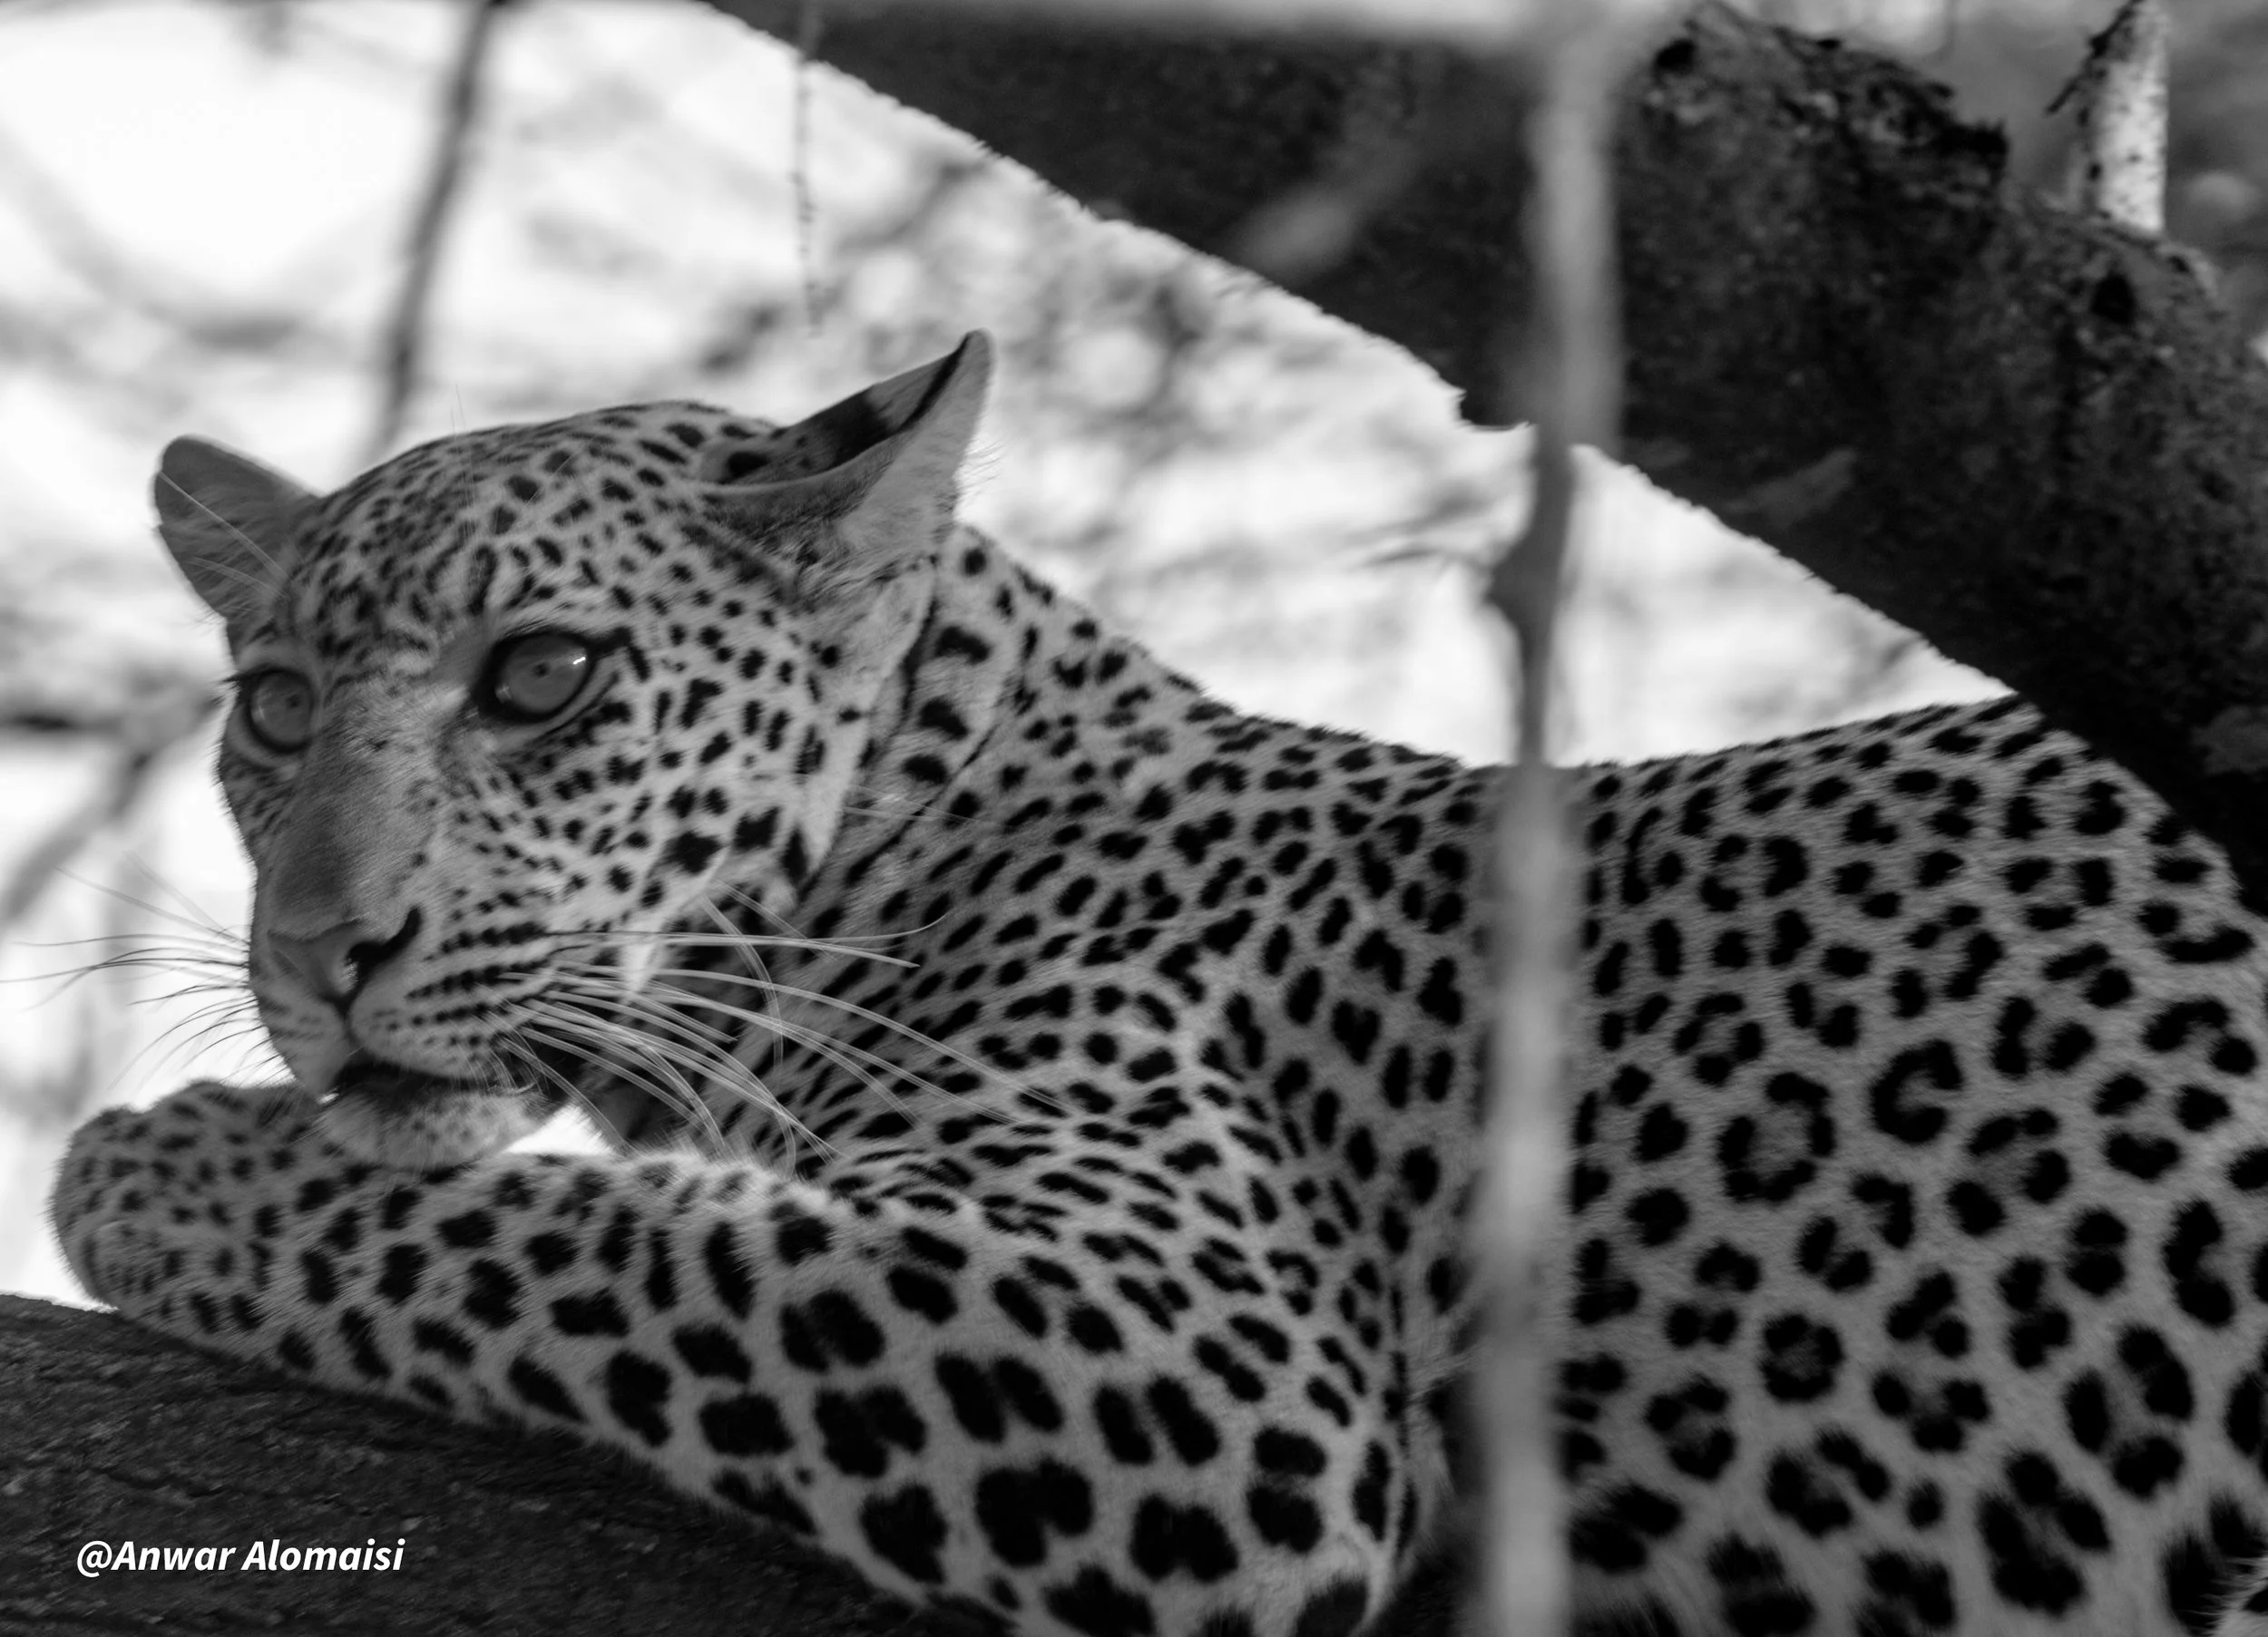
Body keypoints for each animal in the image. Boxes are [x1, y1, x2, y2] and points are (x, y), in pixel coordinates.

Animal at [49, 330, 2268, 1637]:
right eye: (274, 708)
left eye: (540, 678)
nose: (323, 953)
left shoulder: (1200, 1350)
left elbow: (606, 1237)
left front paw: (156, 1166)